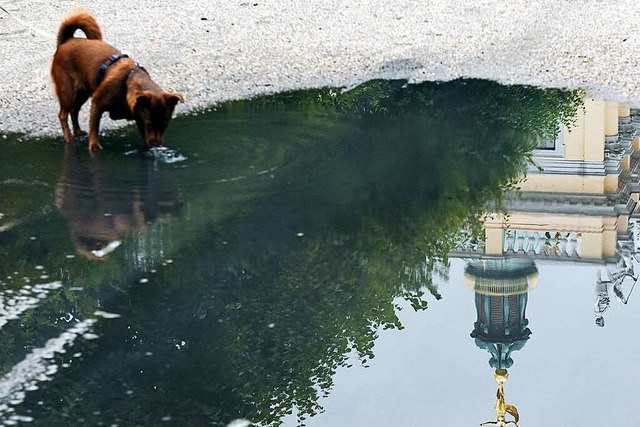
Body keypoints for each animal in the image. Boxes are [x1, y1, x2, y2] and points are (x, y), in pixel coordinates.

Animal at [51, 10, 184, 152]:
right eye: (149, 124)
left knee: (74, 110)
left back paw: (77, 131)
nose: (156, 144)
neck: (127, 81)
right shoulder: (97, 103)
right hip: (68, 92)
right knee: (63, 114)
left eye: (165, 125)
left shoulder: (138, 113)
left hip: (82, 93)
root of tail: (67, 41)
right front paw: (94, 145)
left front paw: (145, 146)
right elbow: (94, 126)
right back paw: (68, 137)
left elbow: (143, 133)